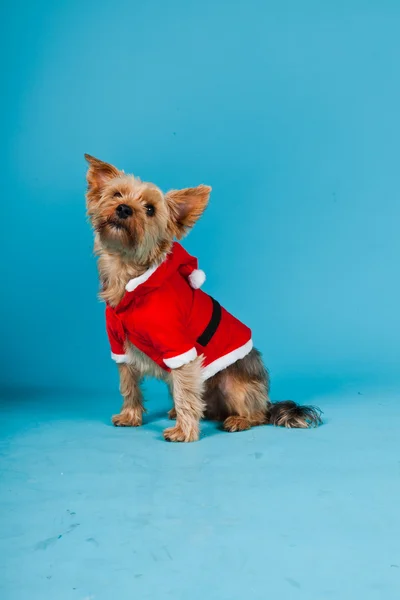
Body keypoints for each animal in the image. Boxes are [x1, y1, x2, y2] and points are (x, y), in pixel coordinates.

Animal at [85, 155, 322, 442]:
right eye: (117, 194)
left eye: (150, 209)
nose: (123, 209)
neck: (129, 276)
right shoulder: (119, 345)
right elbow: (129, 383)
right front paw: (130, 416)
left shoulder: (179, 347)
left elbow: (185, 394)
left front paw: (183, 432)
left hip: (233, 382)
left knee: (254, 413)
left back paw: (238, 420)